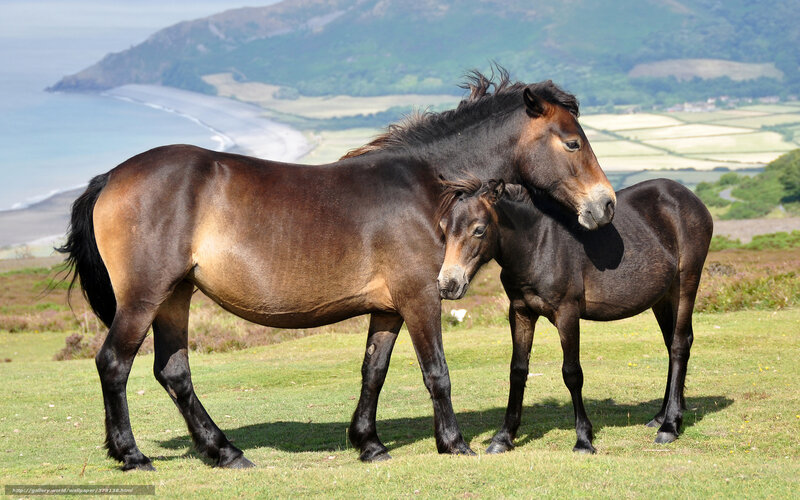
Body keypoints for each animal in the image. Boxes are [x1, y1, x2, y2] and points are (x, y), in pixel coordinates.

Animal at [59, 69, 616, 470]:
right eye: (572, 143)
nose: (605, 205)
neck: (426, 188)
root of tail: (112, 177)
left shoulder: (389, 307)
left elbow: (374, 371)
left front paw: (369, 444)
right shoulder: (421, 296)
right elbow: (436, 371)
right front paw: (454, 443)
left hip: (175, 294)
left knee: (173, 372)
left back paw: (225, 452)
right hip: (145, 296)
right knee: (114, 364)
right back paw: (132, 455)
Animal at [435, 177, 712, 453]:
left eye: (478, 230)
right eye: (443, 228)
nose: (448, 284)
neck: (538, 245)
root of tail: (689, 198)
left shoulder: (567, 313)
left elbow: (572, 373)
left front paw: (583, 439)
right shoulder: (521, 312)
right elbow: (518, 371)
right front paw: (503, 438)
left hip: (686, 283)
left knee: (679, 345)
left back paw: (670, 426)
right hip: (662, 297)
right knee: (671, 344)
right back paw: (661, 416)